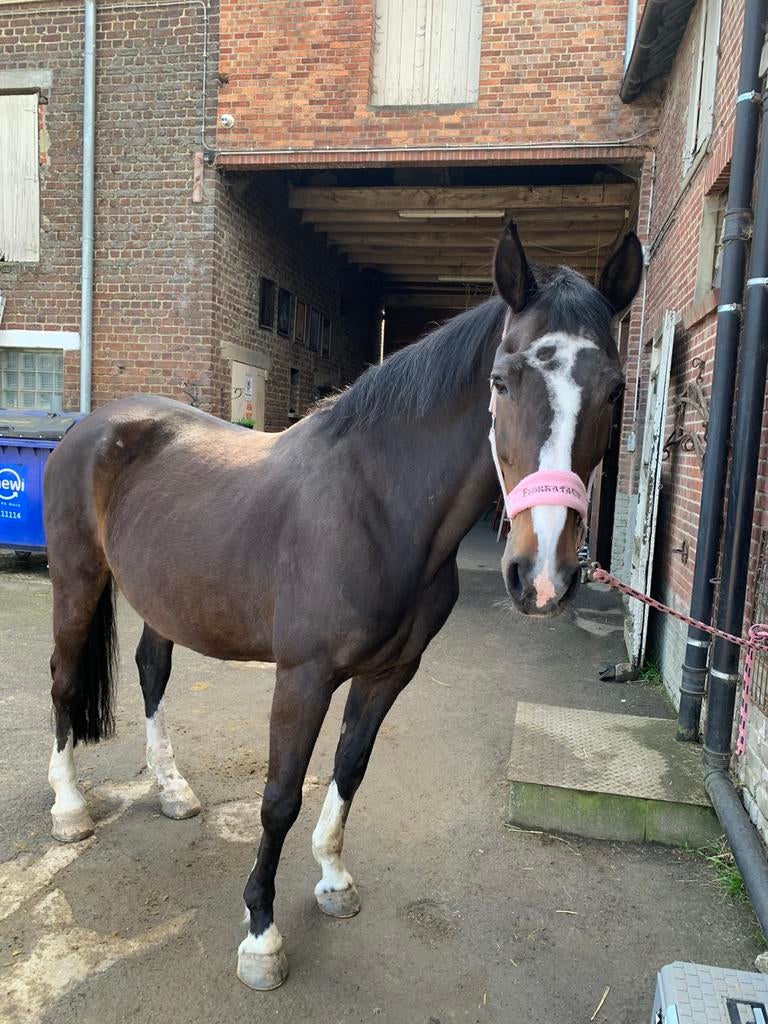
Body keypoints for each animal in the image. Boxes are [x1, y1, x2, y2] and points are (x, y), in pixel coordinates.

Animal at [43, 221, 642, 990]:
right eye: (501, 381)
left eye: (614, 390)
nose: (541, 577)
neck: (375, 505)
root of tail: (95, 426)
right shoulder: (303, 678)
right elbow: (279, 798)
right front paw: (260, 934)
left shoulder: (390, 674)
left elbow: (350, 770)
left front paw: (332, 880)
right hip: (78, 581)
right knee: (63, 681)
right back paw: (69, 808)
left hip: (165, 599)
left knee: (152, 671)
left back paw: (172, 789)